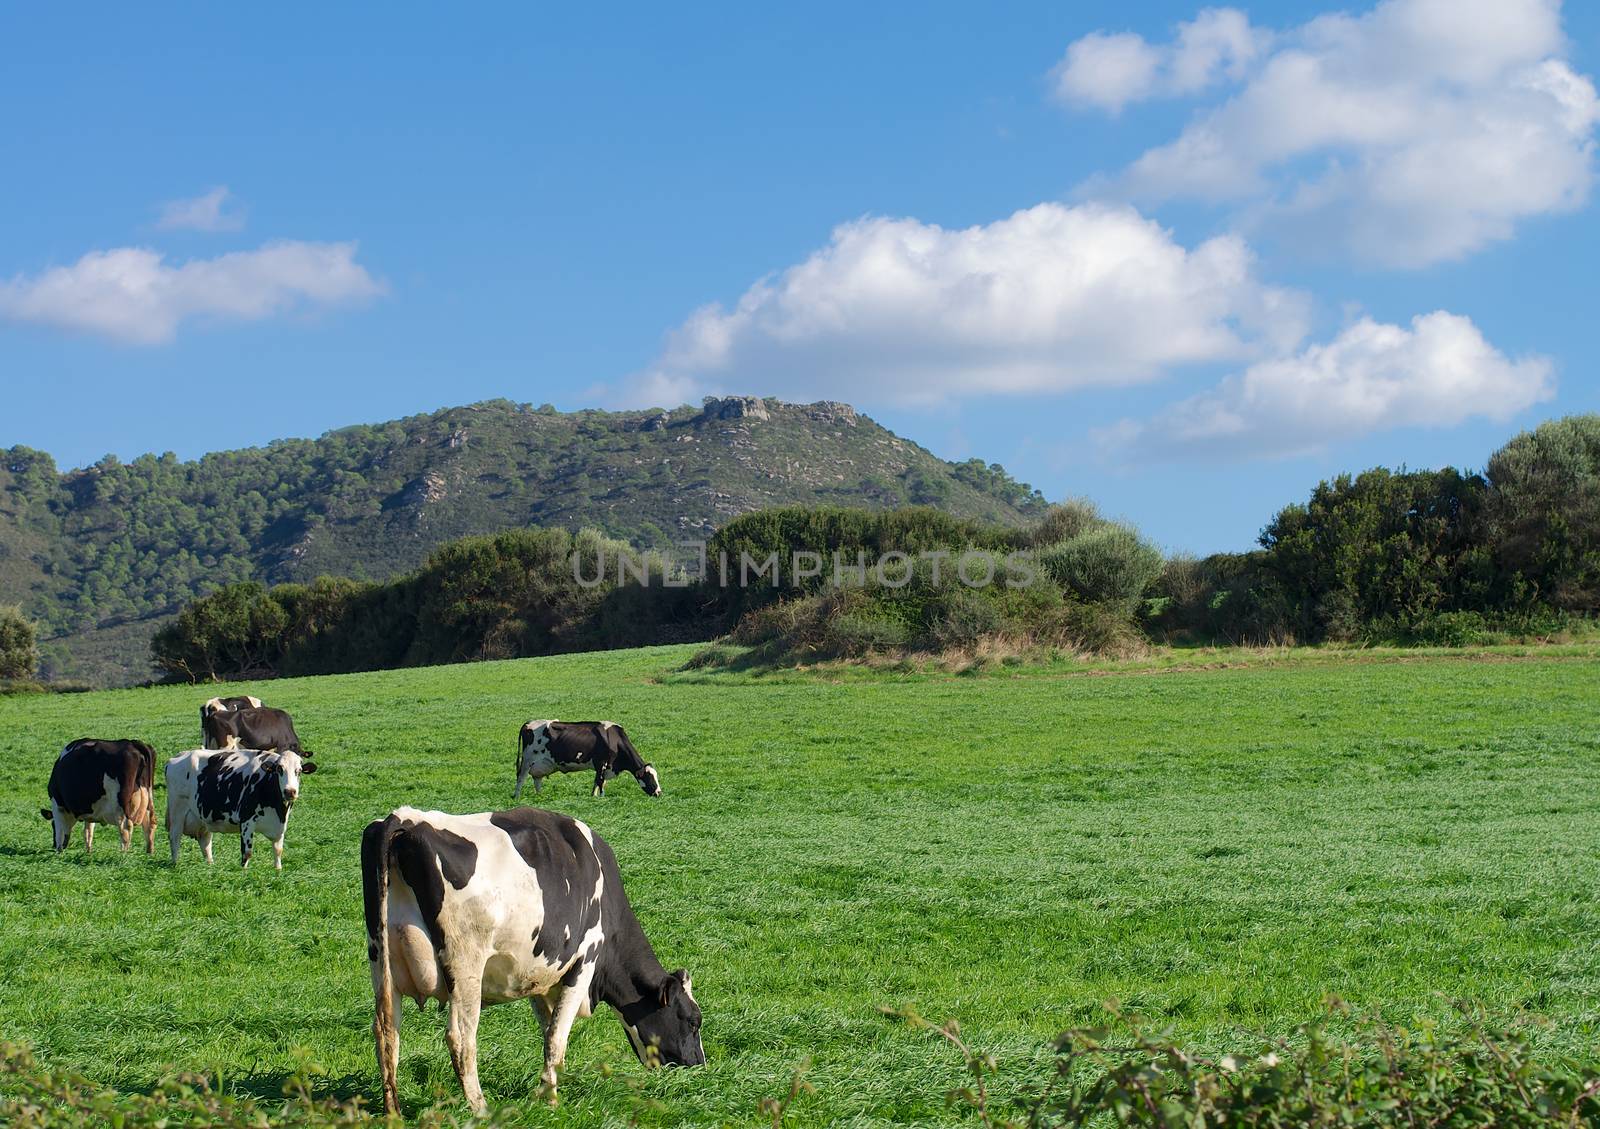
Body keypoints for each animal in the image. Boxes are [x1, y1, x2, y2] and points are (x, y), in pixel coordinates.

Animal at [165, 742, 315, 863]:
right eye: (279, 769)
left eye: (299, 771)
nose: (290, 791)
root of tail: (179, 755)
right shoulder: (246, 821)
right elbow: (246, 854)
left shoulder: (280, 826)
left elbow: (278, 851)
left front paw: (278, 871)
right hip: (177, 810)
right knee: (175, 837)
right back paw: (175, 865)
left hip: (202, 816)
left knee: (205, 841)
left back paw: (210, 865)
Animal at [368, 805, 707, 1113]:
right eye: (693, 1021)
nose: (699, 1067)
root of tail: (406, 818)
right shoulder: (584, 963)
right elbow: (557, 1038)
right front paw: (551, 1101)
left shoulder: (537, 974)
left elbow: (547, 1033)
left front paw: (550, 1091)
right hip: (465, 965)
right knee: (461, 1039)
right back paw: (480, 1108)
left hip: (380, 960)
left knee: (387, 1032)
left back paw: (393, 1112)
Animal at [515, 716, 659, 796]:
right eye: (649, 777)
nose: (659, 792)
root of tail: (528, 723)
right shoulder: (601, 763)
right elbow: (601, 783)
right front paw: (602, 798)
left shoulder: (602, 767)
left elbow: (597, 782)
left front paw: (593, 796)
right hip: (527, 760)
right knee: (521, 778)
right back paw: (517, 797)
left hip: (539, 765)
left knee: (537, 780)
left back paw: (540, 796)